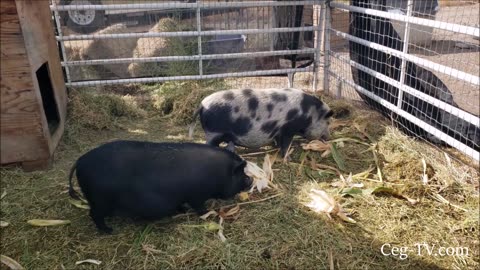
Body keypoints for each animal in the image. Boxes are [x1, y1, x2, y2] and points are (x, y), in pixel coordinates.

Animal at [70, 140, 255, 233]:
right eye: (240, 172)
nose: (251, 180)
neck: (217, 173)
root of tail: (80, 161)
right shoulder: (196, 195)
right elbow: (199, 207)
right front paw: (208, 213)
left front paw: (182, 210)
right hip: (100, 201)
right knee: (93, 214)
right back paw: (108, 231)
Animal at [189, 87, 332, 157]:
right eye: (328, 122)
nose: (328, 137)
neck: (308, 113)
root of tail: (202, 104)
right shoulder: (288, 129)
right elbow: (286, 144)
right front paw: (287, 158)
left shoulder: (279, 131)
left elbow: (278, 141)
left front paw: (275, 147)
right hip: (213, 132)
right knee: (210, 144)